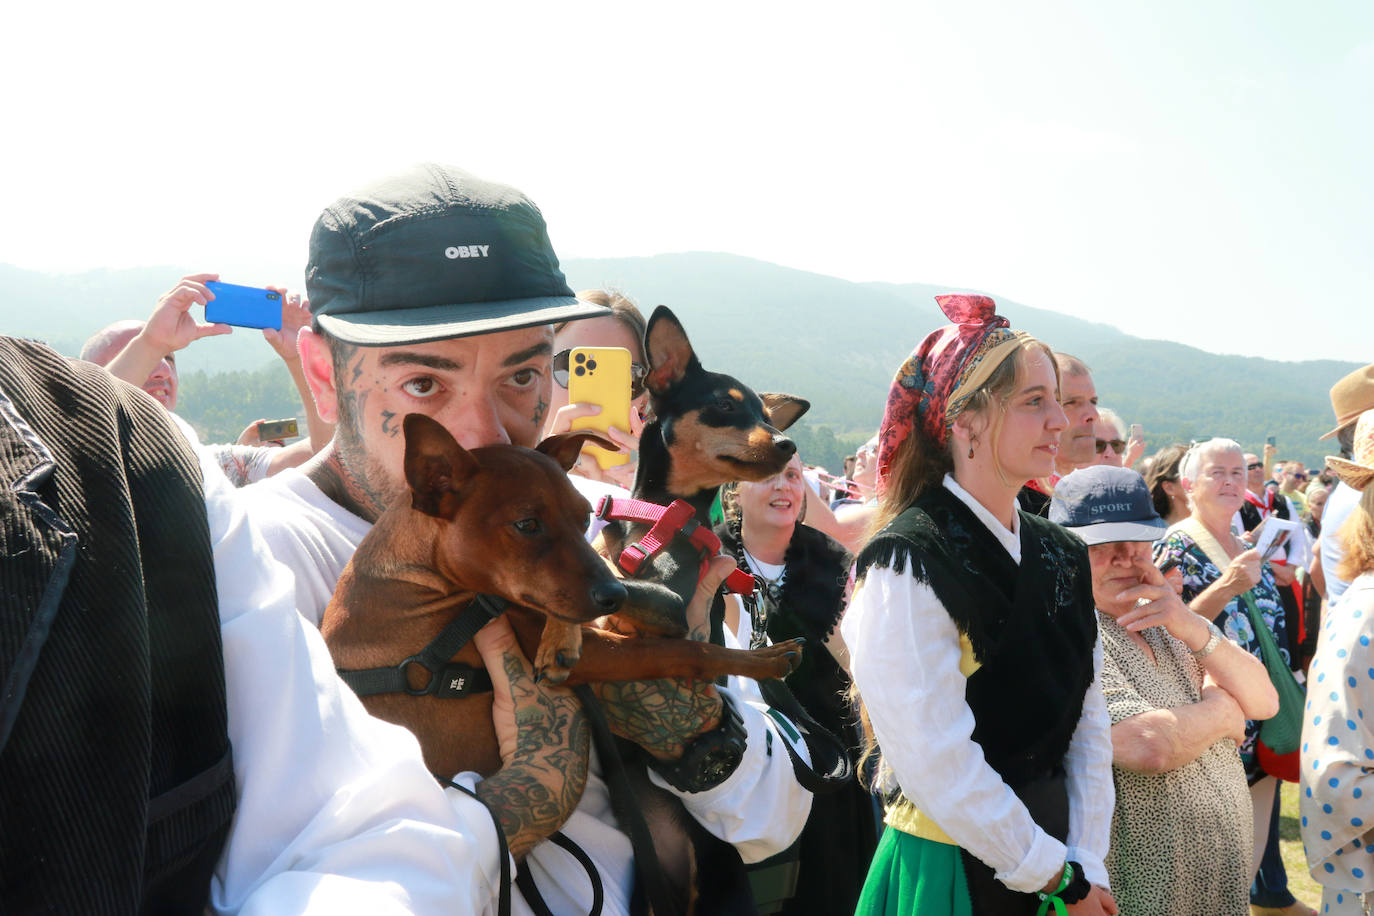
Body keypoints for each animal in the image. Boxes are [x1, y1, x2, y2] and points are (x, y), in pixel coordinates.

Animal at [318, 414, 802, 780]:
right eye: (526, 524)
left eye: (585, 516)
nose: (612, 595)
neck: (420, 577)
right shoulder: (586, 654)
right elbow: (688, 651)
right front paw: (766, 660)